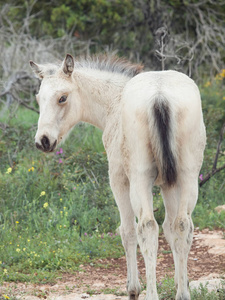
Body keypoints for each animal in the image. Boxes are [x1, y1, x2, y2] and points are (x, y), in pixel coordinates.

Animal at [29, 54, 206, 300]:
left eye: (62, 98)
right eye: (38, 98)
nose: (43, 141)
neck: (114, 103)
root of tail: (160, 97)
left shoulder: (119, 180)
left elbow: (127, 231)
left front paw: (133, 288)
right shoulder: (169, 185)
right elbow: (171, 230)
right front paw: (182, 284)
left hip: (140, 180)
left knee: (147, 228)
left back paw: (150, 293)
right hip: (188, 177)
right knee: (182, 225)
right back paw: (182, 295)